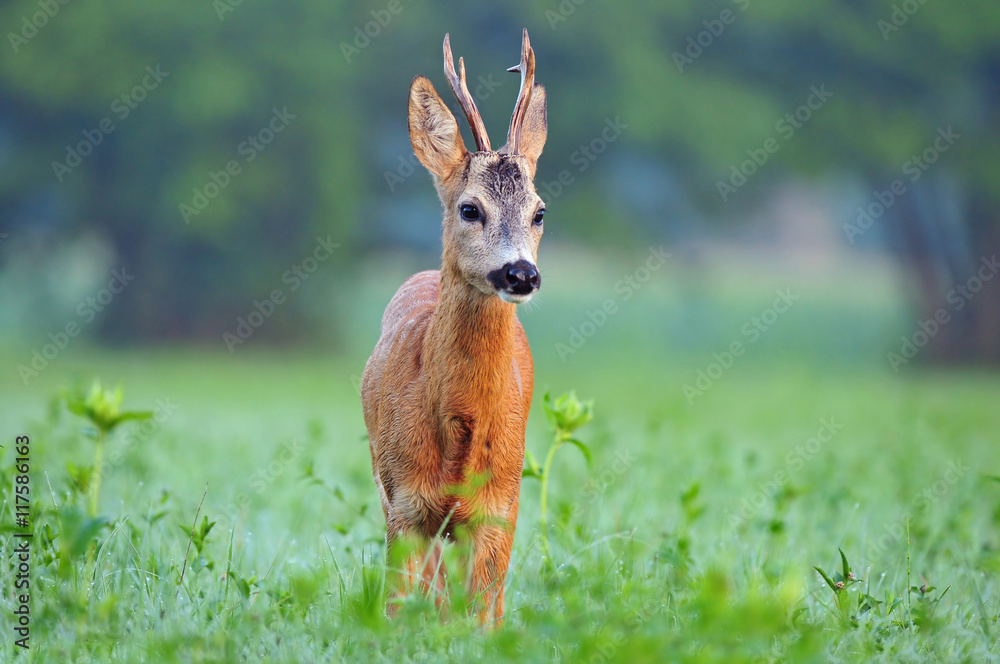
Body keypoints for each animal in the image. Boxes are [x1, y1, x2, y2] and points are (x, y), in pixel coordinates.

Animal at [360, 29, 547, 625]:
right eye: (470, 208)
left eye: (539, 211)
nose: (520, 272)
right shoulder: (403, 502)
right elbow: (396, 604)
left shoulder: (500, 508)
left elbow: (485, 618)